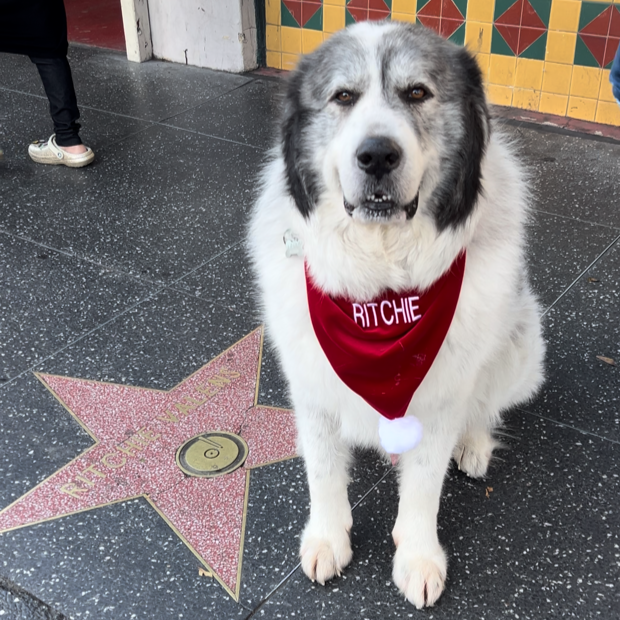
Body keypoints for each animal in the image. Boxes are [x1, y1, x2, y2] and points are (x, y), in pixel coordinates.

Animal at [247, 21, 544, 608]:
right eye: (343, 97)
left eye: (417, 93)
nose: (377, 155)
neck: (381, 282)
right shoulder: (311, 384)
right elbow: (322, 471)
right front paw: (327, 537)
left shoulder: (441, 396)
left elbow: (425, 485)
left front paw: (419, 558)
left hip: (522, 339)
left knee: (487, 406)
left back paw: (475, 446)